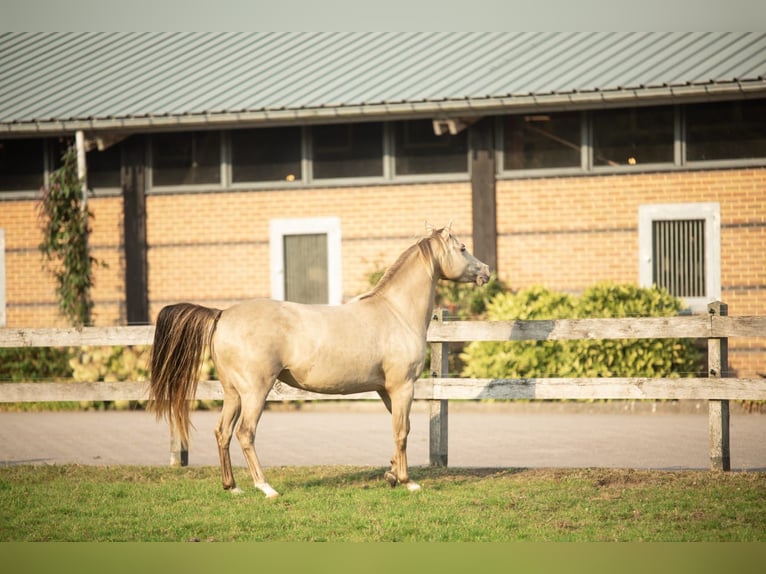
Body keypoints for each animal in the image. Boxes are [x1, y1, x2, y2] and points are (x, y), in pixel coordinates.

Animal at [148, 226, 492, 500]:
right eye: (462, 248)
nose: (486, 271)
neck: (395, 312)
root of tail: (222, 315)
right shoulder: (402, 387)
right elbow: (402, 431)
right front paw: (407, 481)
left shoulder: (386, 390)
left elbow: (397, 426)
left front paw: (392, 474)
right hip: (255, 393)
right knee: (245, 433)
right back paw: (266, 487)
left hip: (233, 393)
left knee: (223, 433)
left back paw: (232, 487)